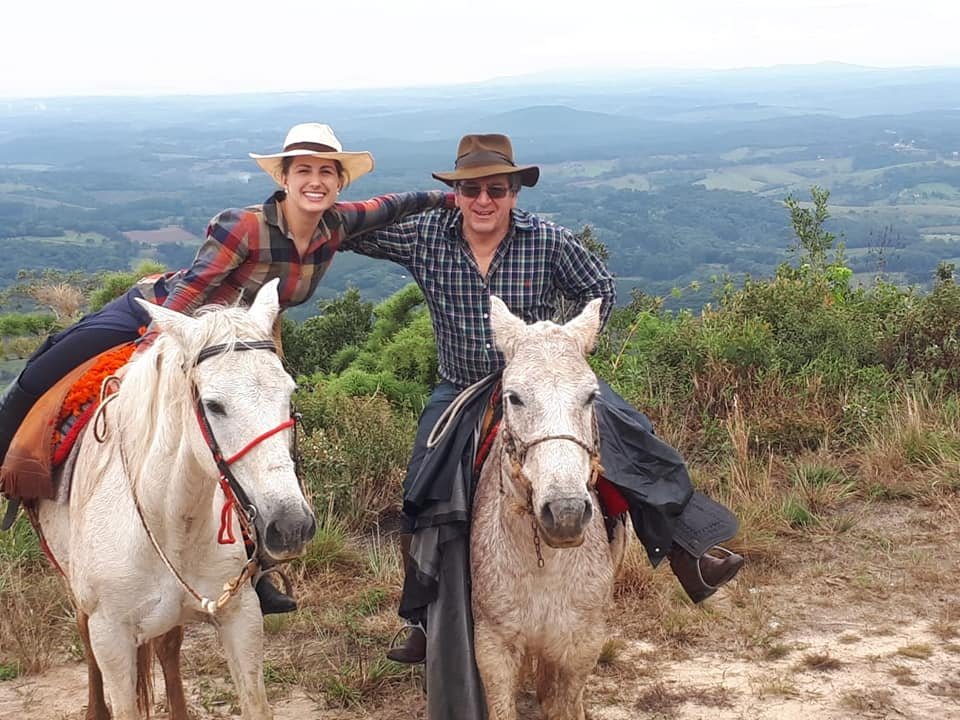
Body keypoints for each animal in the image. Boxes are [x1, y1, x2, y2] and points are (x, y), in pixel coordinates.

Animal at [33, 279, 316, 720]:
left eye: (290, 392)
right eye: (214, 405)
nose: (291, 527)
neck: (166, 519)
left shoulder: (241, 615)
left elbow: (254, 703)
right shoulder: (111, 638)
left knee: (168, 648)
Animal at [470, 296, 628, 720]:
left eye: (591, 396)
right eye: (514, 397)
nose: (566, 512)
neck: (544, 564)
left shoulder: (582, 643)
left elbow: (566, 703)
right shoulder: (493, 646)